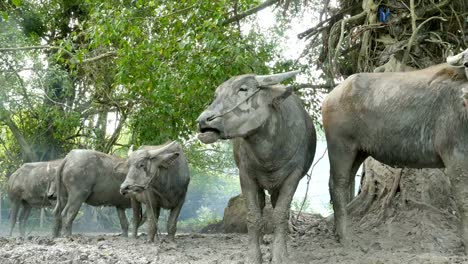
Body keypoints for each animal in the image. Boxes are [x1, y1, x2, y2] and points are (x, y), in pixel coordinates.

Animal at [196, 71, 316, 262]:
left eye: (243, 89)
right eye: (216, 94)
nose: (203, 120)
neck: (269, 155)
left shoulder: (293, 176)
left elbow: (280, 214)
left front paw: (279, 254)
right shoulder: (245, 175)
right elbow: (253, 216)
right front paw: (253, 256)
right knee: (260, 206)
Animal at [322, 56, 468, 252]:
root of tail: (333, 94)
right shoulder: (456, 158)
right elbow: (464, 200)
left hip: (359, 152)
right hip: (341, 147)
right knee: (338, 183)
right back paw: (344, 236)